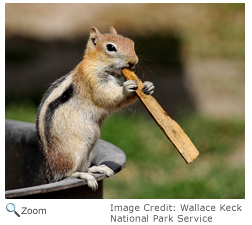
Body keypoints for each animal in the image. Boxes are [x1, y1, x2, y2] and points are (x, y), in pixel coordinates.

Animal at [35, 27, 154, 191]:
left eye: (131, 43)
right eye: (110, 47)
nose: (133, 62)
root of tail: (49, 171)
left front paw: (148, 85)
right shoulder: (92, 79)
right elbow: (107, 96)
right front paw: (126, 88)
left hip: (88, 151)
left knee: (82, 167)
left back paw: (98, 168)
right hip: (73, 151)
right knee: (66, 174)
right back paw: (83, 175)